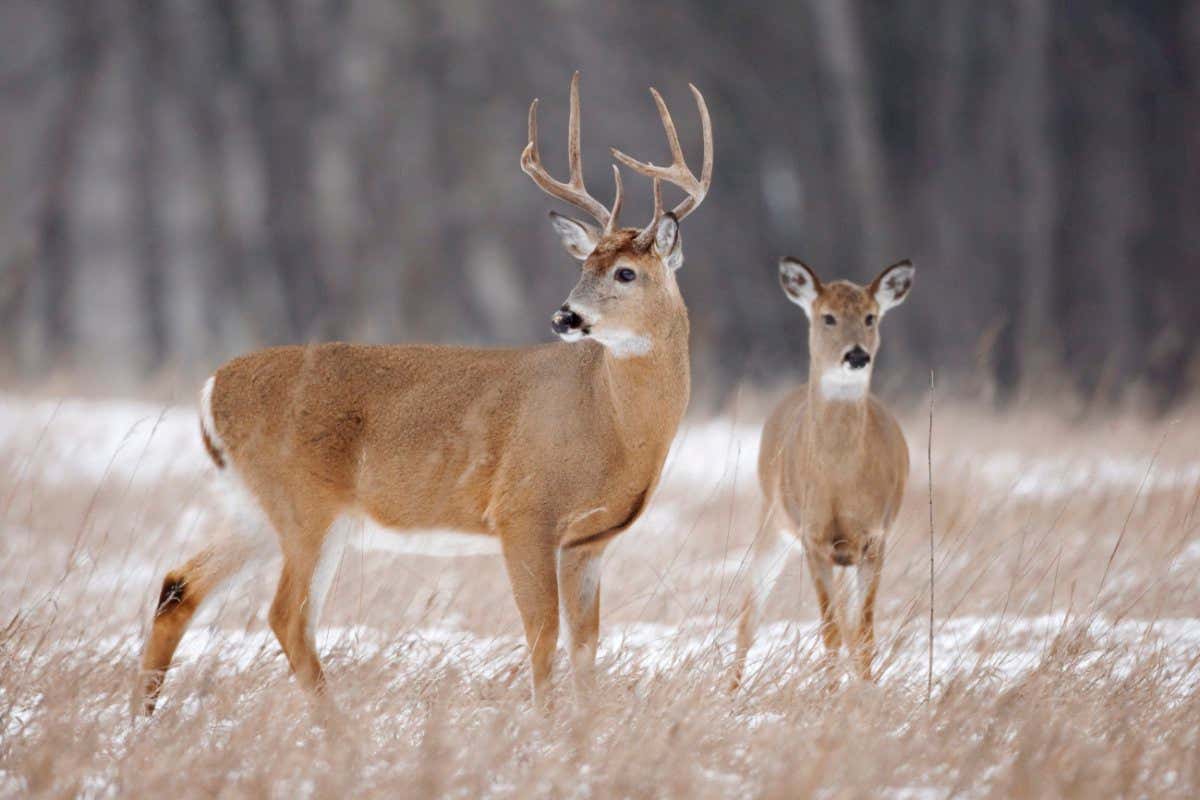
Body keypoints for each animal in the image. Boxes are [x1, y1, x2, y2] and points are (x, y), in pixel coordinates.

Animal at [133, 72, 712, 714]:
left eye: (625, 273)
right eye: (584, 265)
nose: (565, 316)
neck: (613, 425)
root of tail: (212, 388)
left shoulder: (589, 542)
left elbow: (586, 649)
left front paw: (586, 726)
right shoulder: (522, 511)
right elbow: (542, 637)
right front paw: (546, 724)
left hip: (252, 504)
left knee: (180, 585)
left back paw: (143, 720)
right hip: (305, 501)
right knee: (287, 615)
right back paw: (339, 728)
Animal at [731, 256, 914, 689]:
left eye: (870, 317)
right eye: (827, 317)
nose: (857, 355)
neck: (839, 481)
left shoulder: (874, 536)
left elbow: (863, 632)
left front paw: (863, 692)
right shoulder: (812, 537)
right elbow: (830, 631)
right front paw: (830, 695)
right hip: (773, 519)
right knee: (748, 616)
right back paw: (729, 691)